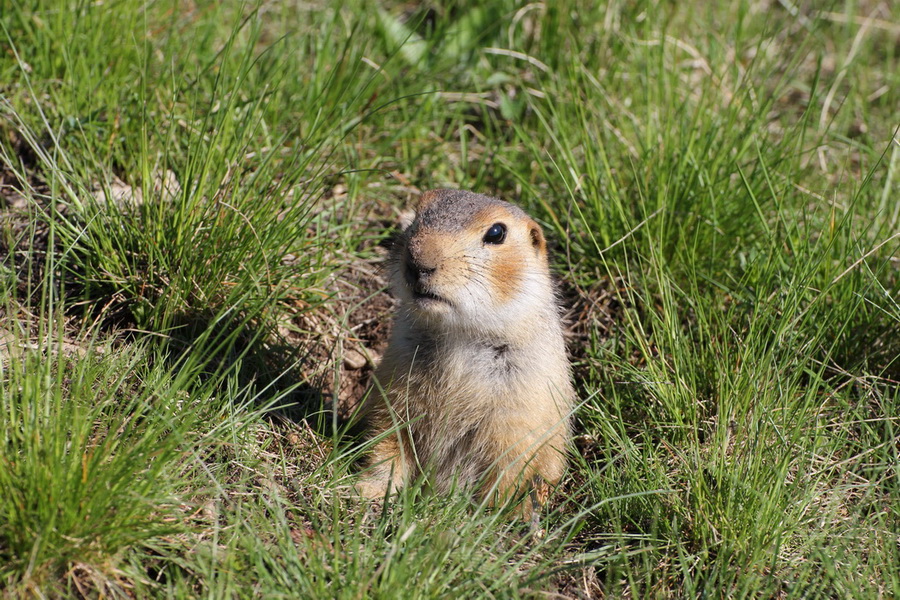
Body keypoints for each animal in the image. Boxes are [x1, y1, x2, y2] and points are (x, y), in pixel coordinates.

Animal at [356, 190, 572, 512]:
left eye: (496, 233)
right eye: (418, 214)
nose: (419, 262)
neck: (460, 336)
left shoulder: (519, 412)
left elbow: (507, 470)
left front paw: (480, 516)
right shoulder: (394, 385)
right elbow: (388, 442)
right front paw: (367, 490)